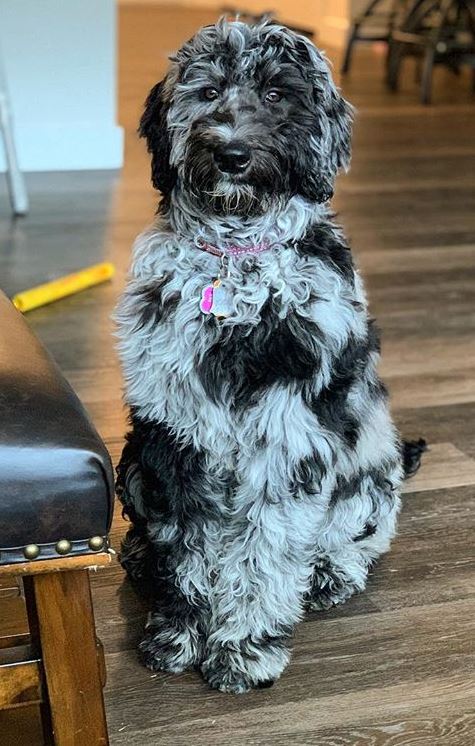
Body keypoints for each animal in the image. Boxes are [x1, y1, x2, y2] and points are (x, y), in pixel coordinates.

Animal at [113, 18, 426, 692]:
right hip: (133, 460)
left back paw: (332, 571)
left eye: (278, 95)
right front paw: (181, 628)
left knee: (358, 533)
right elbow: (186, 544)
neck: (237, 261)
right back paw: (141, 559)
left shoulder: (288, 437)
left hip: (369, 468)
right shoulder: (176, 435)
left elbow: (266, 548)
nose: (231, 153)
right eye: (207, 92)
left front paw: (243, 647)